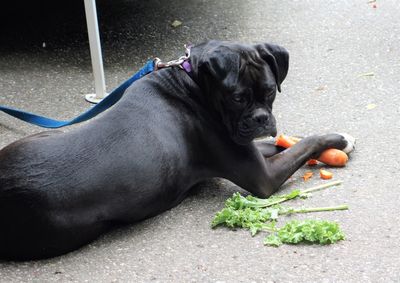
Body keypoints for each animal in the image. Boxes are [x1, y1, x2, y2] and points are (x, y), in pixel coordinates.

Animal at [0, 41, 354, 260]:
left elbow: (285, 140)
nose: (261, 118)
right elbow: (306, 141)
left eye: (269, 91)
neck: (192, 83)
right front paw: (339, 139)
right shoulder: (262, 177)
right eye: (238, 97)